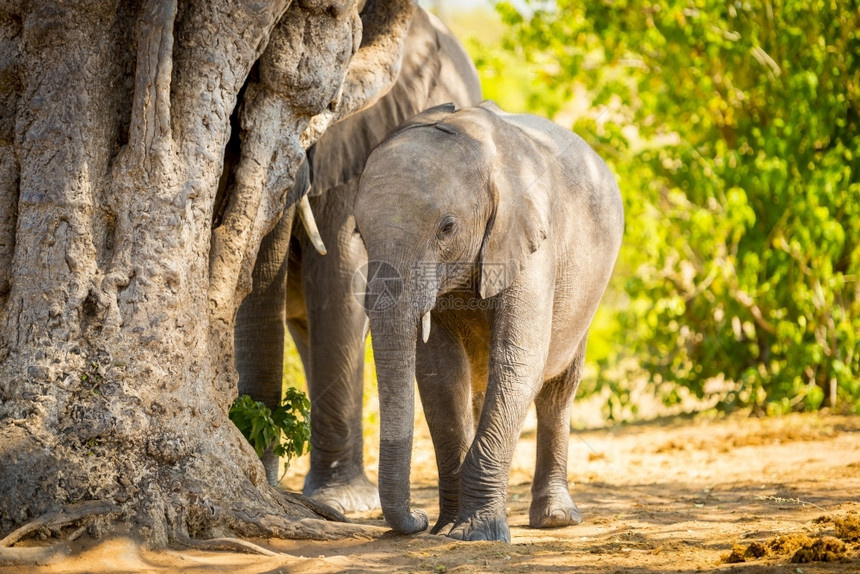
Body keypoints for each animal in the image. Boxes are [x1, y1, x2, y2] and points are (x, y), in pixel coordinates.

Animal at [352, 100, 620, 544]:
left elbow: (518, 363)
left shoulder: (532, 244)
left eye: (447, 227)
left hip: (588, 291)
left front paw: (474, 534)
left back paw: (555, 518)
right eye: (357, 231)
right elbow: (439, 375)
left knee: (558, 390)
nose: (417, 519)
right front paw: (446, 528)